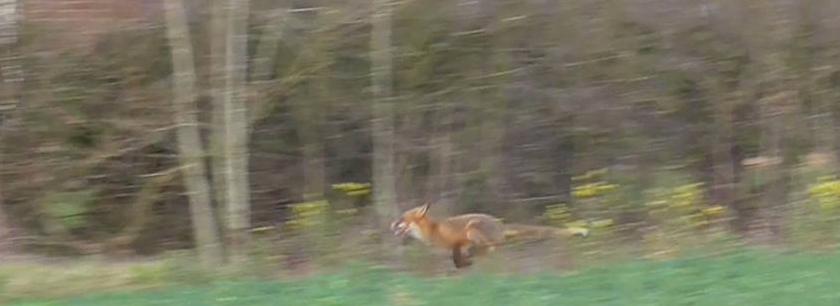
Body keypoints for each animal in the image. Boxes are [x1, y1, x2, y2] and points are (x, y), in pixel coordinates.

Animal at [390, 202, 588, 268]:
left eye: (401, 219)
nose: (390, 225)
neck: (433, 230)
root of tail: (500, 224)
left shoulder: (458, 240)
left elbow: (457, 253)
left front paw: (463, 262)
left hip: (472, 228)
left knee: (490, 248)